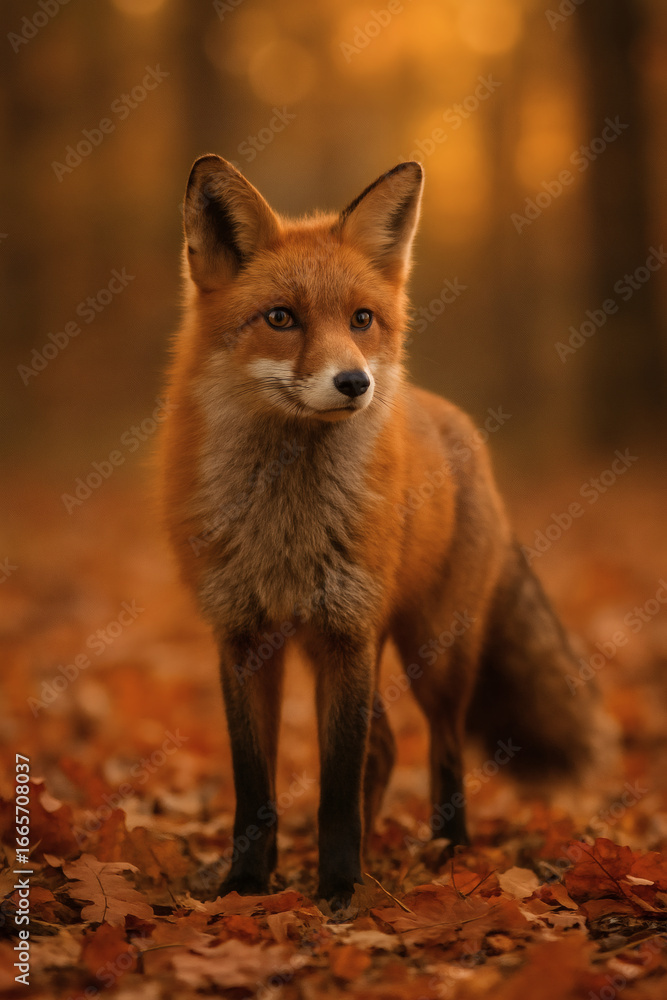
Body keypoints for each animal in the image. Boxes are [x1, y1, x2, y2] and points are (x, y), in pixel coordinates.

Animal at [159, 154, 605, 911]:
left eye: (361, 319)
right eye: (280, 318)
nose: (353, 382)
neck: (287, 523)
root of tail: (457, 425)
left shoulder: (348, 630)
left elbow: (336, 788)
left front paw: (339, 890)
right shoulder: (244, 636)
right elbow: (255, 787)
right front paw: (248, 884)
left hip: (435, 649)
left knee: (441, 746)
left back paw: (447, 853)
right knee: (388, 746)